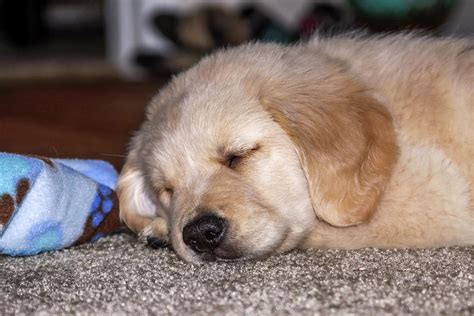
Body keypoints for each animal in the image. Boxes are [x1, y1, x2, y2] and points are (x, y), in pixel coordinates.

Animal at [115, 33, 474, 262]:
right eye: (166, 190)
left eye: (238, 156)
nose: (200, 233)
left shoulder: (440, 201)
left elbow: (314, 230)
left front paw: (159, 229)